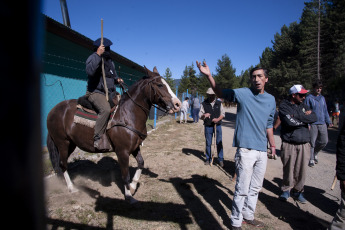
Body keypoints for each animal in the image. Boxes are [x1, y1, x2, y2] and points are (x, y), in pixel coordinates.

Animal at [46, 67, 181, 203]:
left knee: (60, 164)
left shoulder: (135, 147)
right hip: (62, 142)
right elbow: (125, 174)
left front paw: (133, 186)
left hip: (71, 144)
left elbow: (141, 163)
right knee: (62, 164)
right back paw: (71, 188)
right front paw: (129, 196)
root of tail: (53, 110)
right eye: (159, 84)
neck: (127, 114)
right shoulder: (122, 151)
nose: (178, 104)